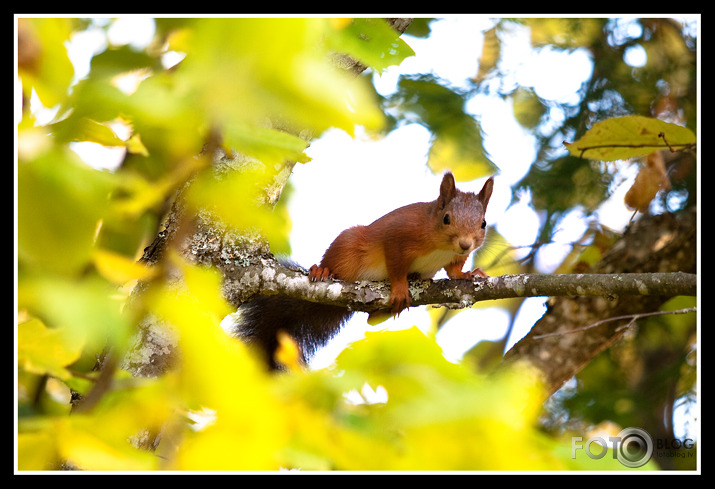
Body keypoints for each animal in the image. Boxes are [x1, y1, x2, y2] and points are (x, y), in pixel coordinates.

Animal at [238, 172, 496, 366]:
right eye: (446, 218)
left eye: (483, 223)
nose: (465, 244)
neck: (441, 246)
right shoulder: (399, 236)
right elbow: (395, 265)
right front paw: (400, 287)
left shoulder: (453, 258)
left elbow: (454, 272)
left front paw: (469, 274)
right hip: (347, 247)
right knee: (333, 263)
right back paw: (321, 271)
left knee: (371, 321)